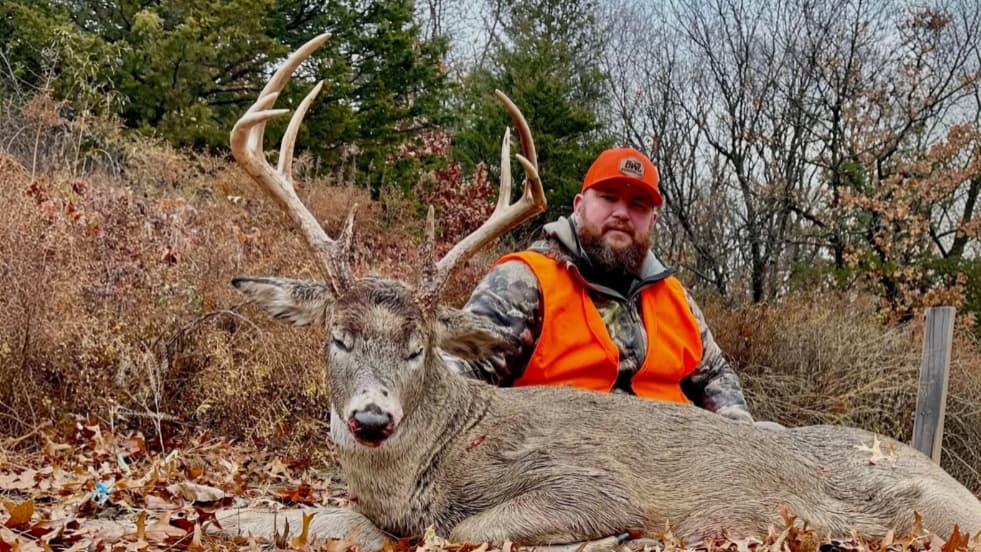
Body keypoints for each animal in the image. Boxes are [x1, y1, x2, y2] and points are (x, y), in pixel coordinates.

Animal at [217, 33, 981, 551]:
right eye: (337, 337)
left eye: (417, 348)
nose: (371, 419)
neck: (429, 467)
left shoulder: (586, 483)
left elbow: (459, 532)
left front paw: (611, 539)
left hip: (938, 510)